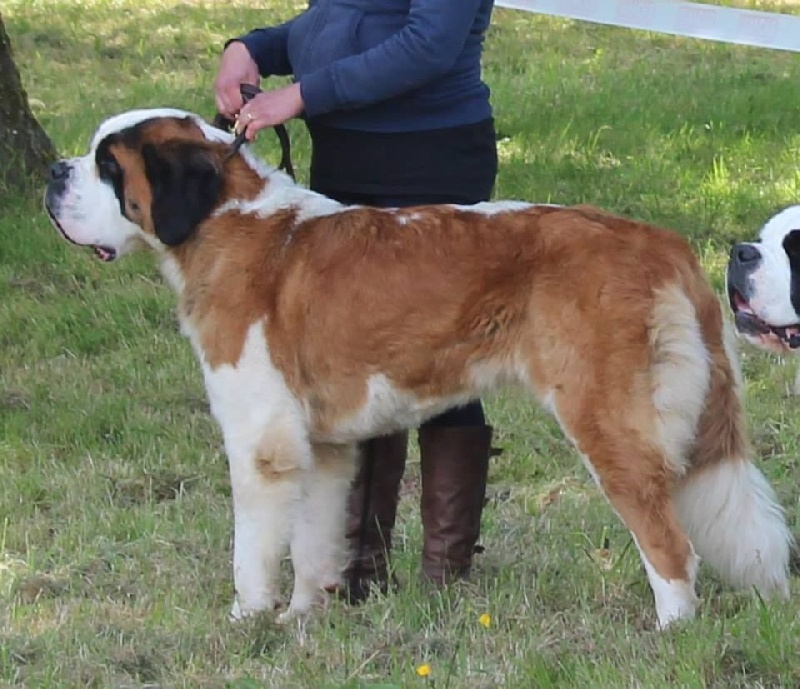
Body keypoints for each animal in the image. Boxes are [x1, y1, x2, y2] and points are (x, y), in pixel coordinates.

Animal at [47, 109, 792, 628]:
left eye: (108, 165)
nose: (55, 172)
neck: (225, 220)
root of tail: (660, 242)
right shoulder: (323, 447)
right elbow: (317, 536)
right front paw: (303, 617)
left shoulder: (262, 443)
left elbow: (252, 549)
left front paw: (247, 621)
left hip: (607, 423)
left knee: (669, 543)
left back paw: (671, 629)